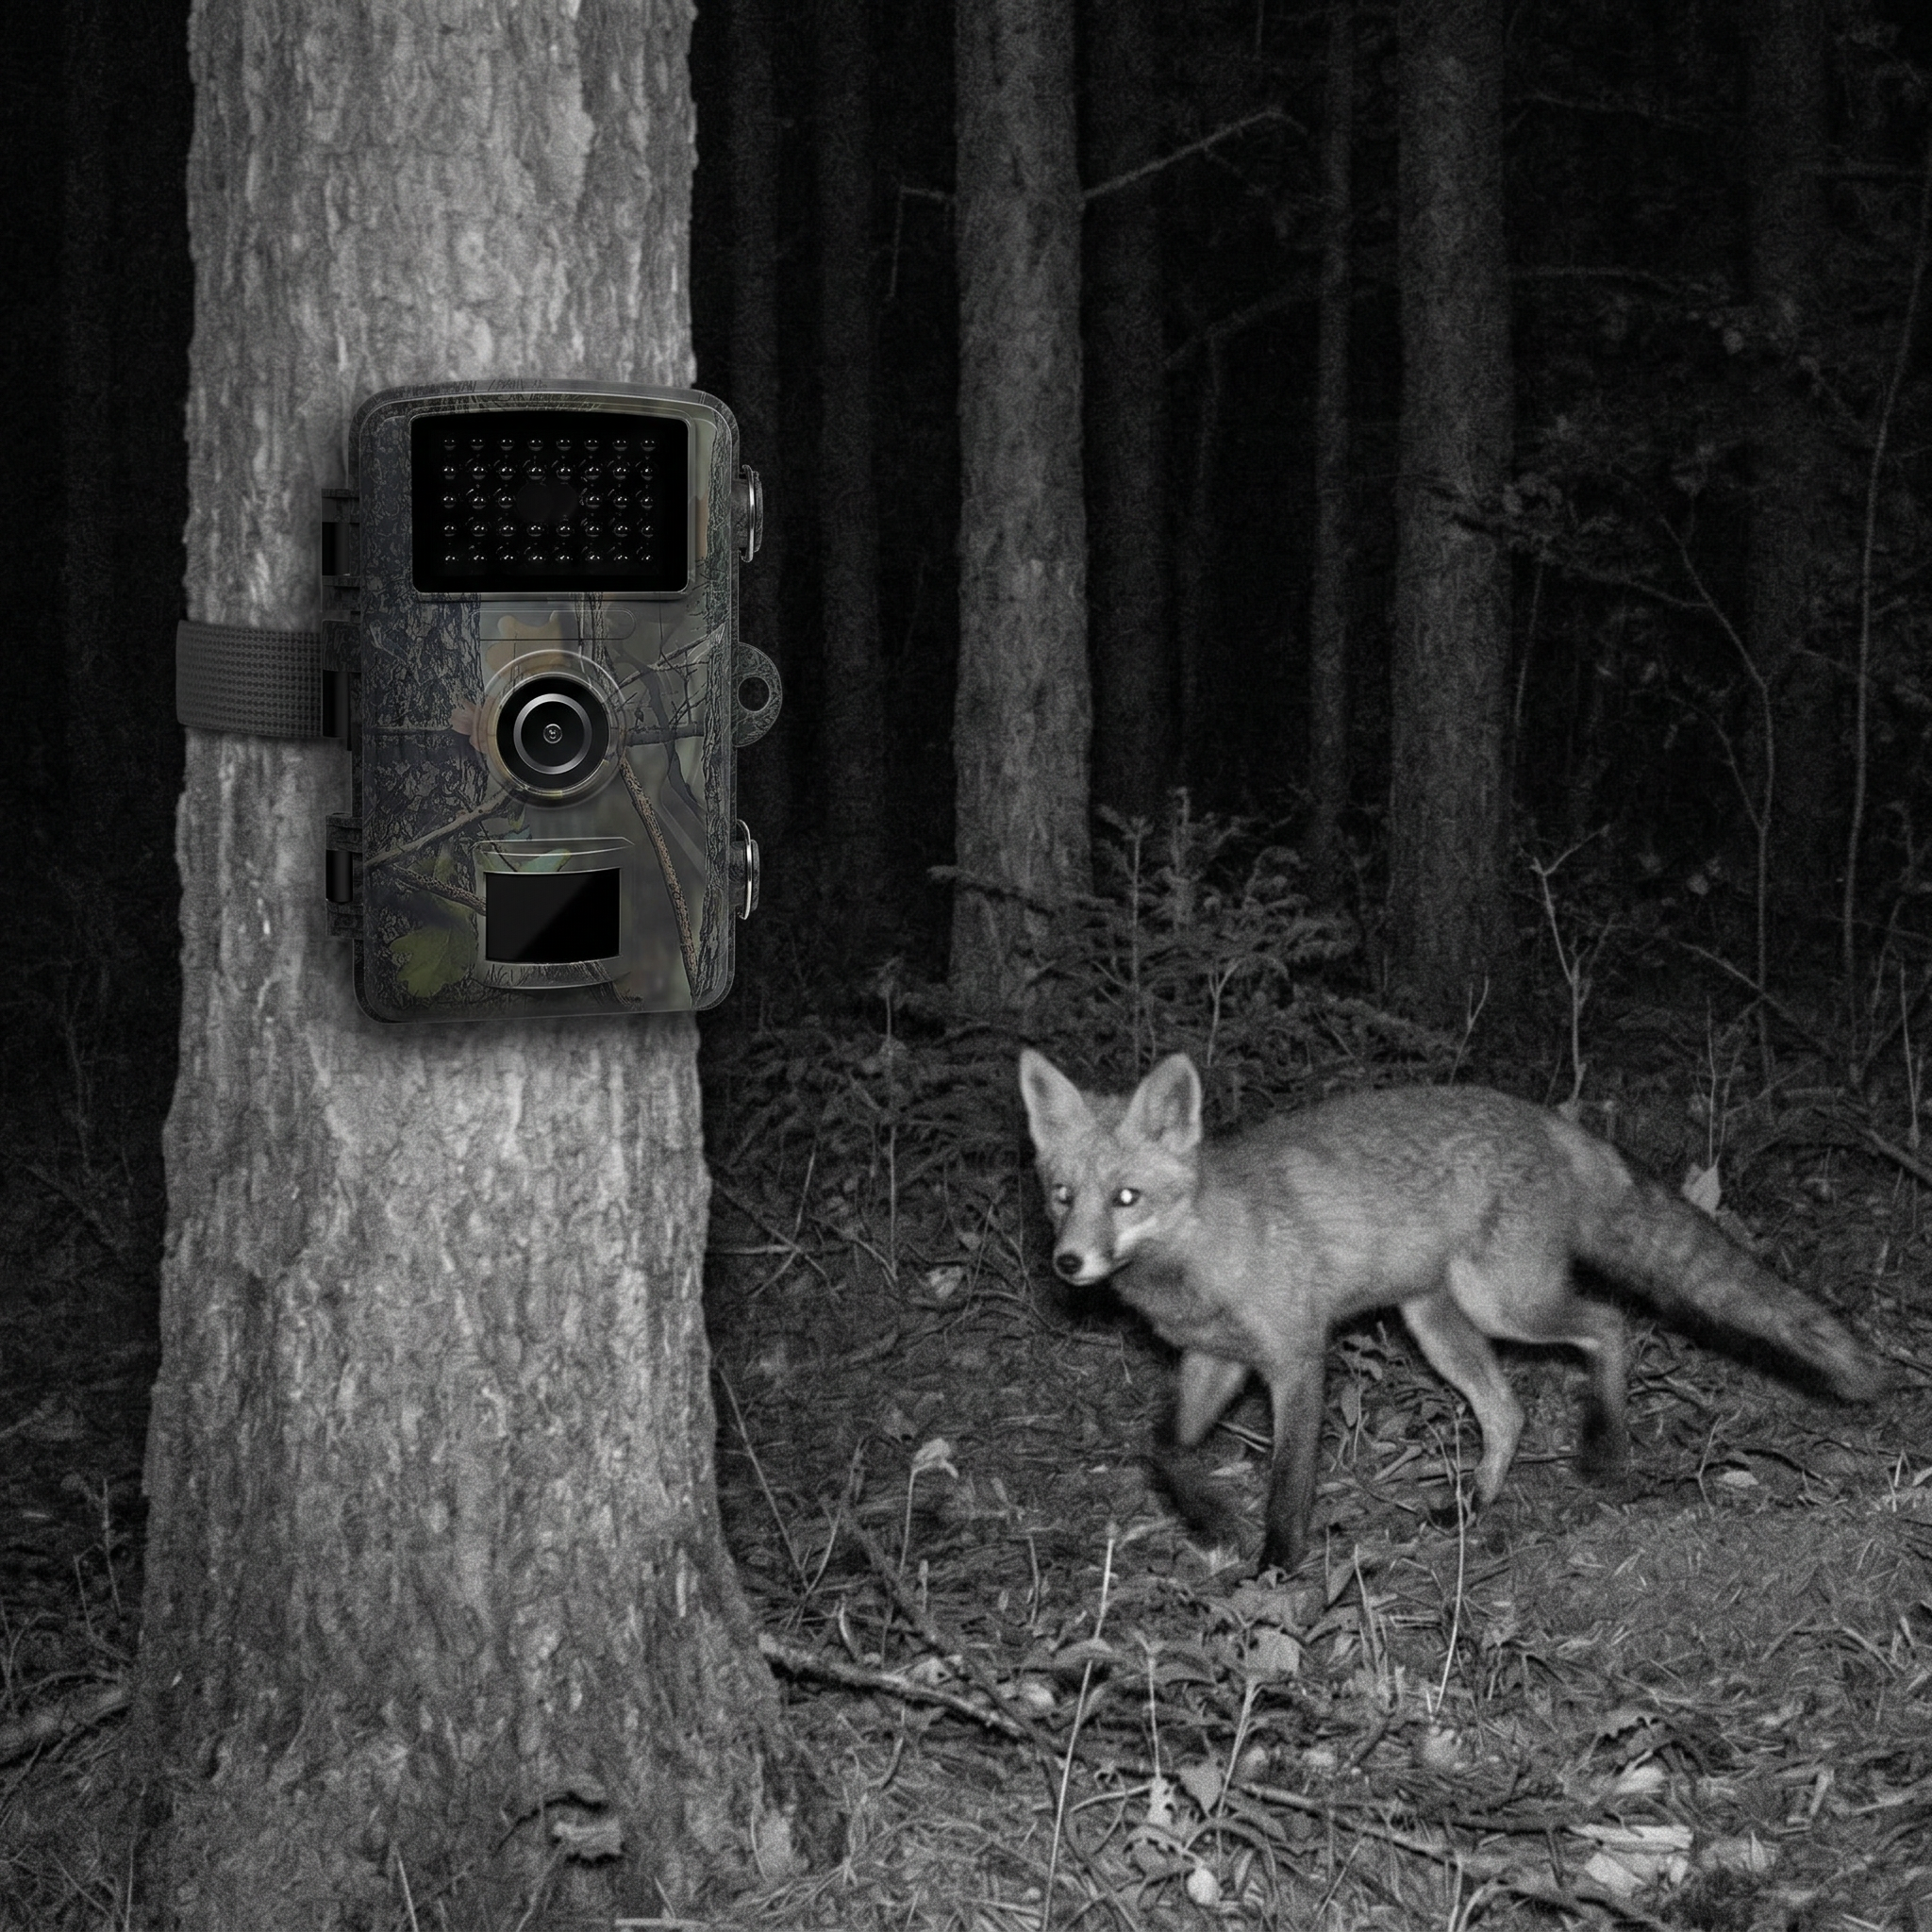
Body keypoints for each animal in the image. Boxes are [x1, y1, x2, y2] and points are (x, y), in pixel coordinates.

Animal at [1018, 1047, 1890, 1573]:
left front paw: (1275, 1567)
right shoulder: (1214, 1359)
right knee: (1507, 1410)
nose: (1068, 1262)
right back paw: (1474, 1505)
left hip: (1504, 1304)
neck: (1200, 1255)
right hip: (1436, 1323)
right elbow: (1161, 1450)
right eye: (1062, 1195)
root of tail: (1544, 1116)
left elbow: (1289, 1479)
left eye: (1126, 1198)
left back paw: (1604, 1449)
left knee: (1610, 1327)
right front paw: (1207, 1520)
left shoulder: (1295, 1358)